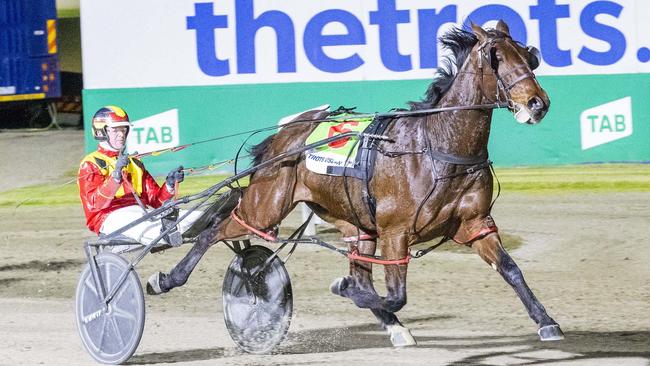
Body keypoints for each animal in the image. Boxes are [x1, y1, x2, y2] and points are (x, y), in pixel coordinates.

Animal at [147, 20, 560, 346]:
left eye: (529, 55)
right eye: (496, 56)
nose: (537, 103)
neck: (437, 146)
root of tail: (283, 137)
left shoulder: (475, 225)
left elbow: (510, 269)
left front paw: (546, 322)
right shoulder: (395, 233)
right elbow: (393, 293)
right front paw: (348, 290)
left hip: (355, 223)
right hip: (265, 207)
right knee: (214, 229)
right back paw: (167, 278)